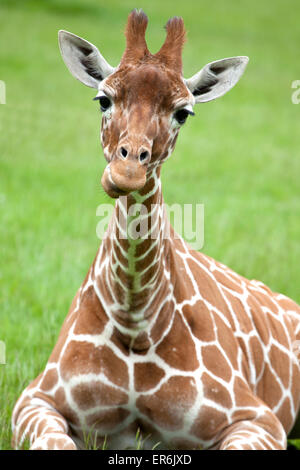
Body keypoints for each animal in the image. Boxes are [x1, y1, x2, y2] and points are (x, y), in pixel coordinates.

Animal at [11, 10, 300, 452]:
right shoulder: (35, 398)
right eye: (103, 99)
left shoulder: (258, 417)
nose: (126, 171)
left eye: (183, 112)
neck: (135, 315)